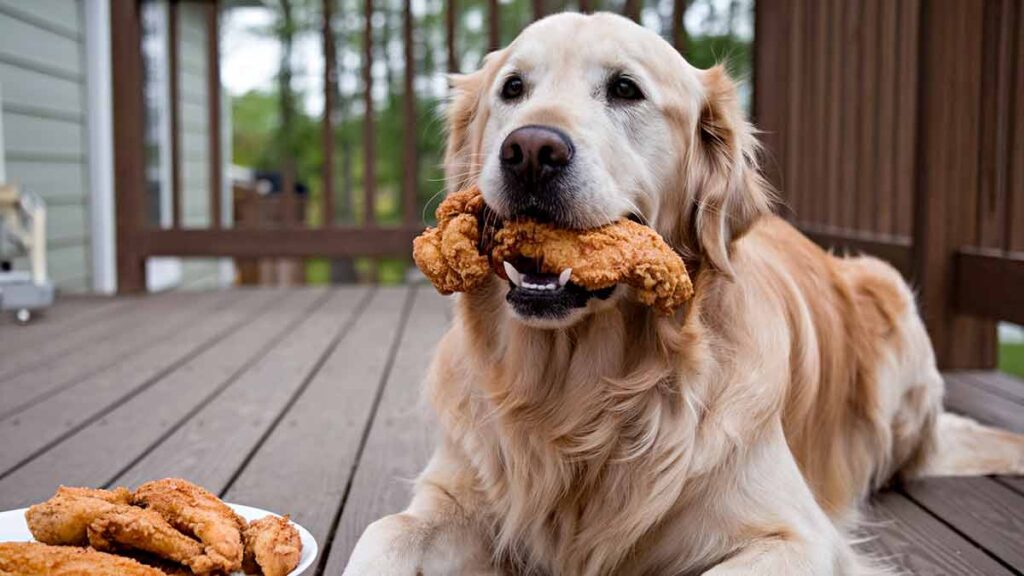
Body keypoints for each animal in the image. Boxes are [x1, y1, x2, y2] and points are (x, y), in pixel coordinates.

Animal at [346, 13, 1024, 573]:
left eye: (625, 89)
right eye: (512, 89)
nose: (531, 150)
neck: (579, 402)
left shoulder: (794, 536)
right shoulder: (451, 496)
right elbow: (383, 532)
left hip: (887, 296)